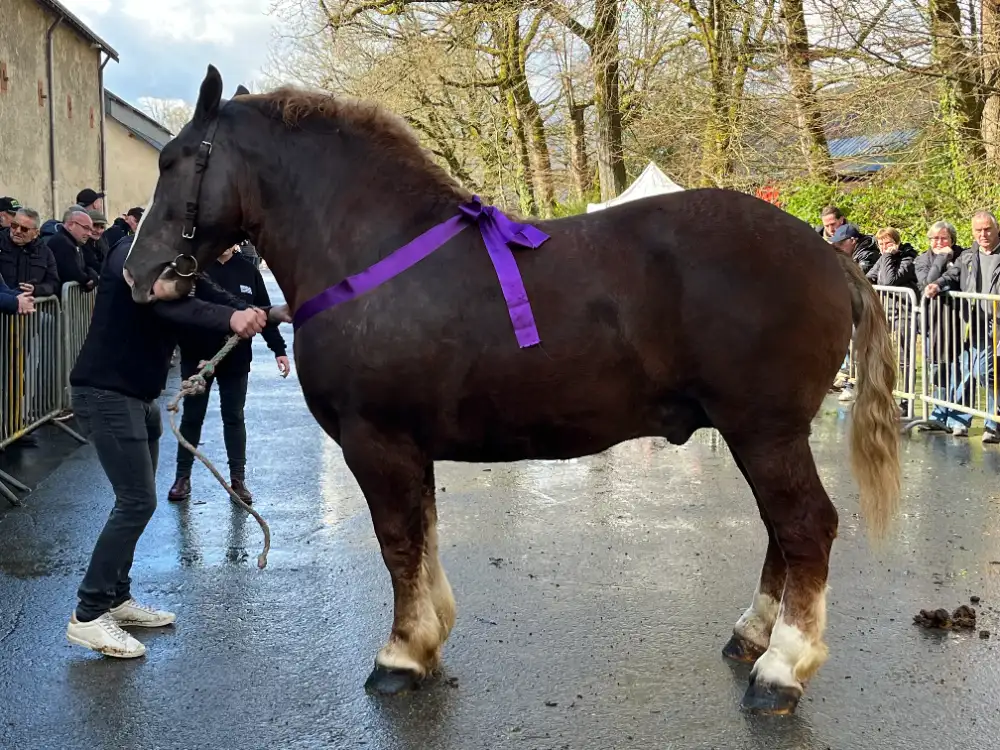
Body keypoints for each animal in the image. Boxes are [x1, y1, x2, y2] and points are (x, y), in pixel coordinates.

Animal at [122, 65, 901, 715]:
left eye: (175, 161)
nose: (139, 274)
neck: (374, 256)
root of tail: (826, 255)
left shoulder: (376, 441)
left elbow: (397, 544)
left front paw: (399, 657)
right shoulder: (409, 448)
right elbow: (423, 538)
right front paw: (427, 640)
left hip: (764, 432)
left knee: (805, 528)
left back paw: (780, 671)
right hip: (760, 435)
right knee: (782, 532)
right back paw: (753, 636)